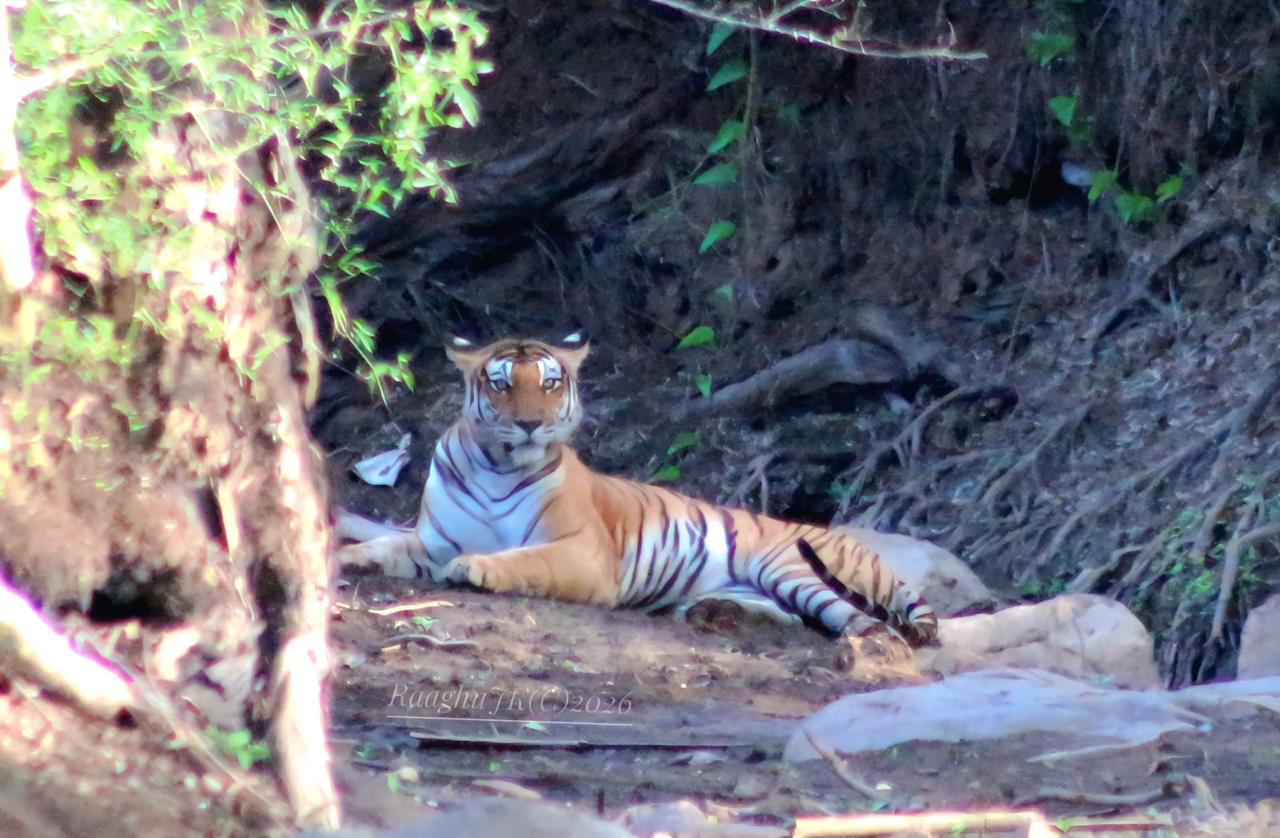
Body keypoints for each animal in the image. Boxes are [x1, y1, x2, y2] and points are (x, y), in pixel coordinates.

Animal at [334, 333, 939, 645]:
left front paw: (477, 567)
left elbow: (526, 559)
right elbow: (382, 543)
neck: (495, 465)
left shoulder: (582, 552)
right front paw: (342, 557)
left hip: (795, 566)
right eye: (501, 384)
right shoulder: (431, 539)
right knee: (792, 617)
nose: (530, 424)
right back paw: (714, 615)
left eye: (549, 383)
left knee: (862, 621)